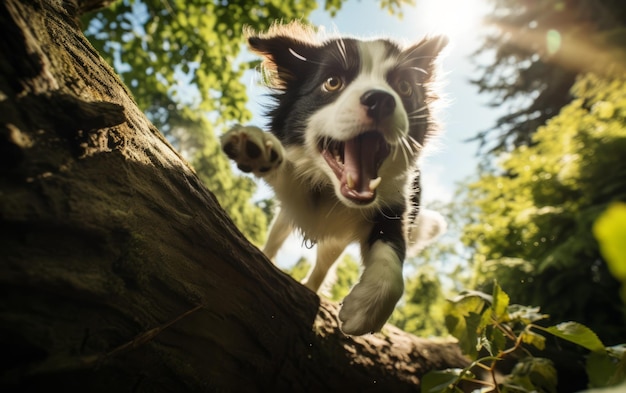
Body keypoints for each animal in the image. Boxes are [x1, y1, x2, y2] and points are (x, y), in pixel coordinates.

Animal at [222, 22, 446, 334]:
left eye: (404, 87)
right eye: (332, 82)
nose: (381, 100)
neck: (330, 188)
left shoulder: (393, 204)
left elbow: (393, 249)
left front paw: (368, 306)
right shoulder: (296, 191)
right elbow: (286, 169)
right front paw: (258, 146)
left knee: (322, 267)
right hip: (285, 221)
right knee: (275, 240)